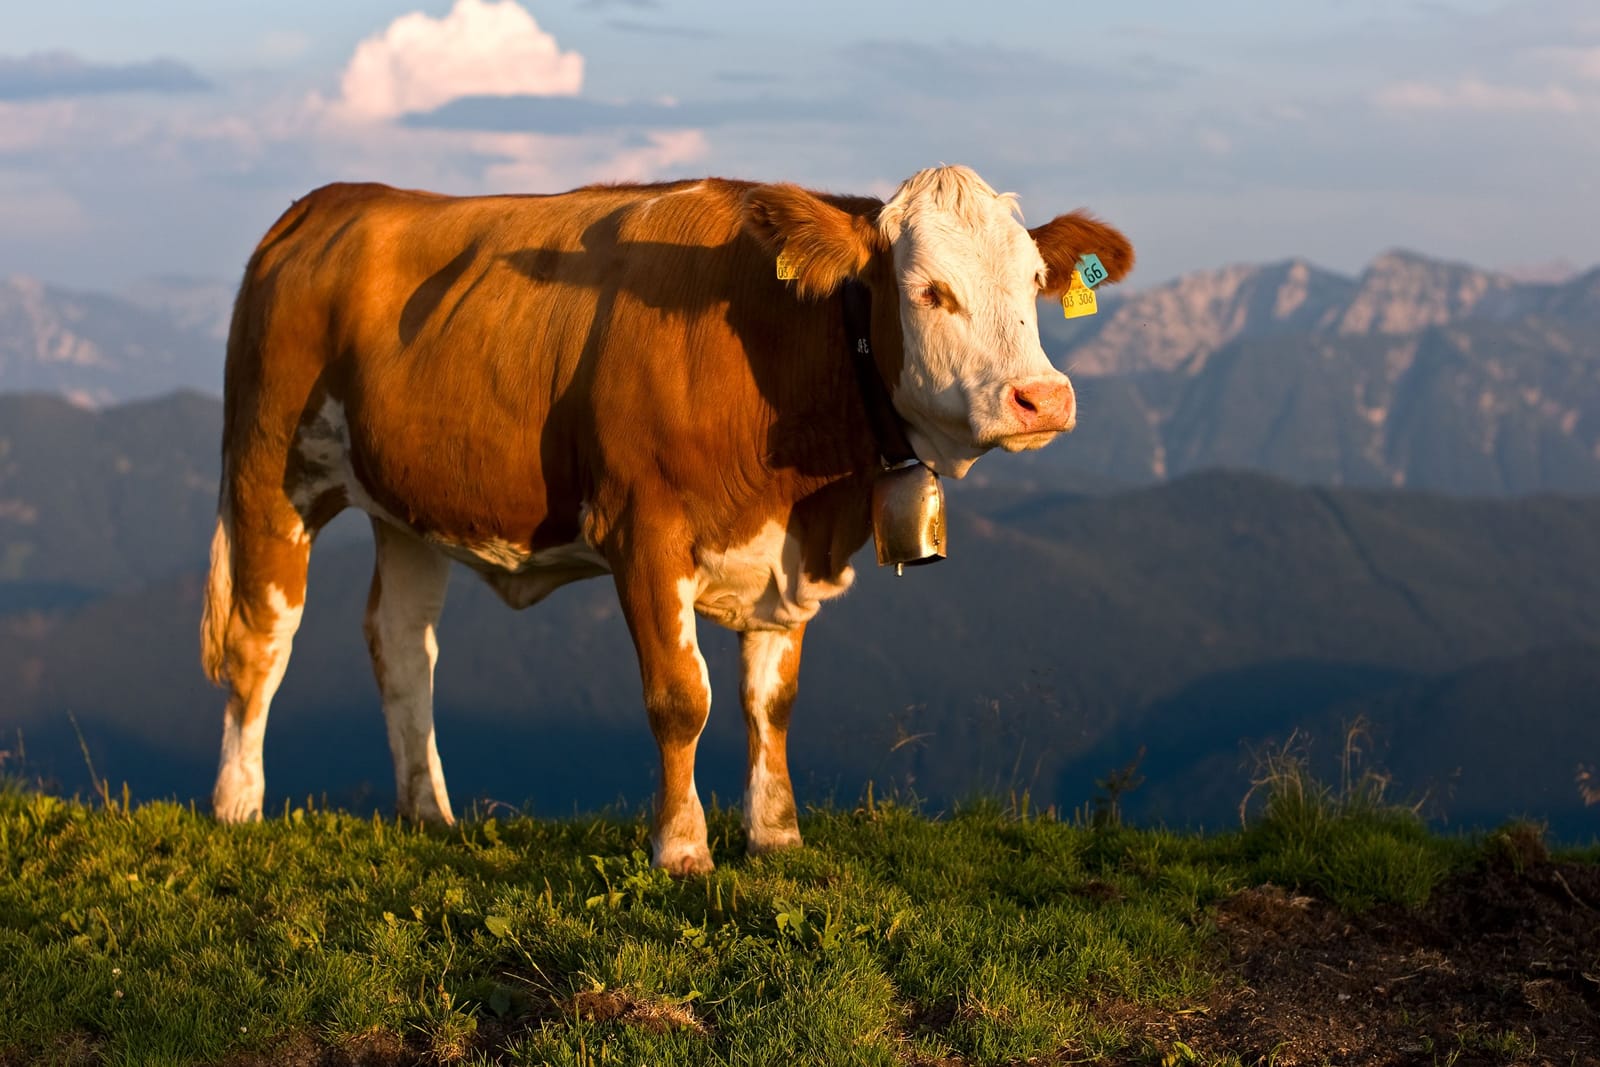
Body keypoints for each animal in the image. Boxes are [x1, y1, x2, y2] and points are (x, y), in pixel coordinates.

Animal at [200, 165, 1133, 874]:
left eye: (1034, 284)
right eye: (929, 291)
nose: (1043, 398)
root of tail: (334, 199)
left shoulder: (786, 553)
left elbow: (772, 701)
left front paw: (777, 834)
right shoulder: (642, 531)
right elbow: (683, 697)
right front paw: (683, 850)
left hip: (409, 504)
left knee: (401, 642)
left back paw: (429, 812)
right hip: (271, 469)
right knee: (261, 639)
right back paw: (237, 808)